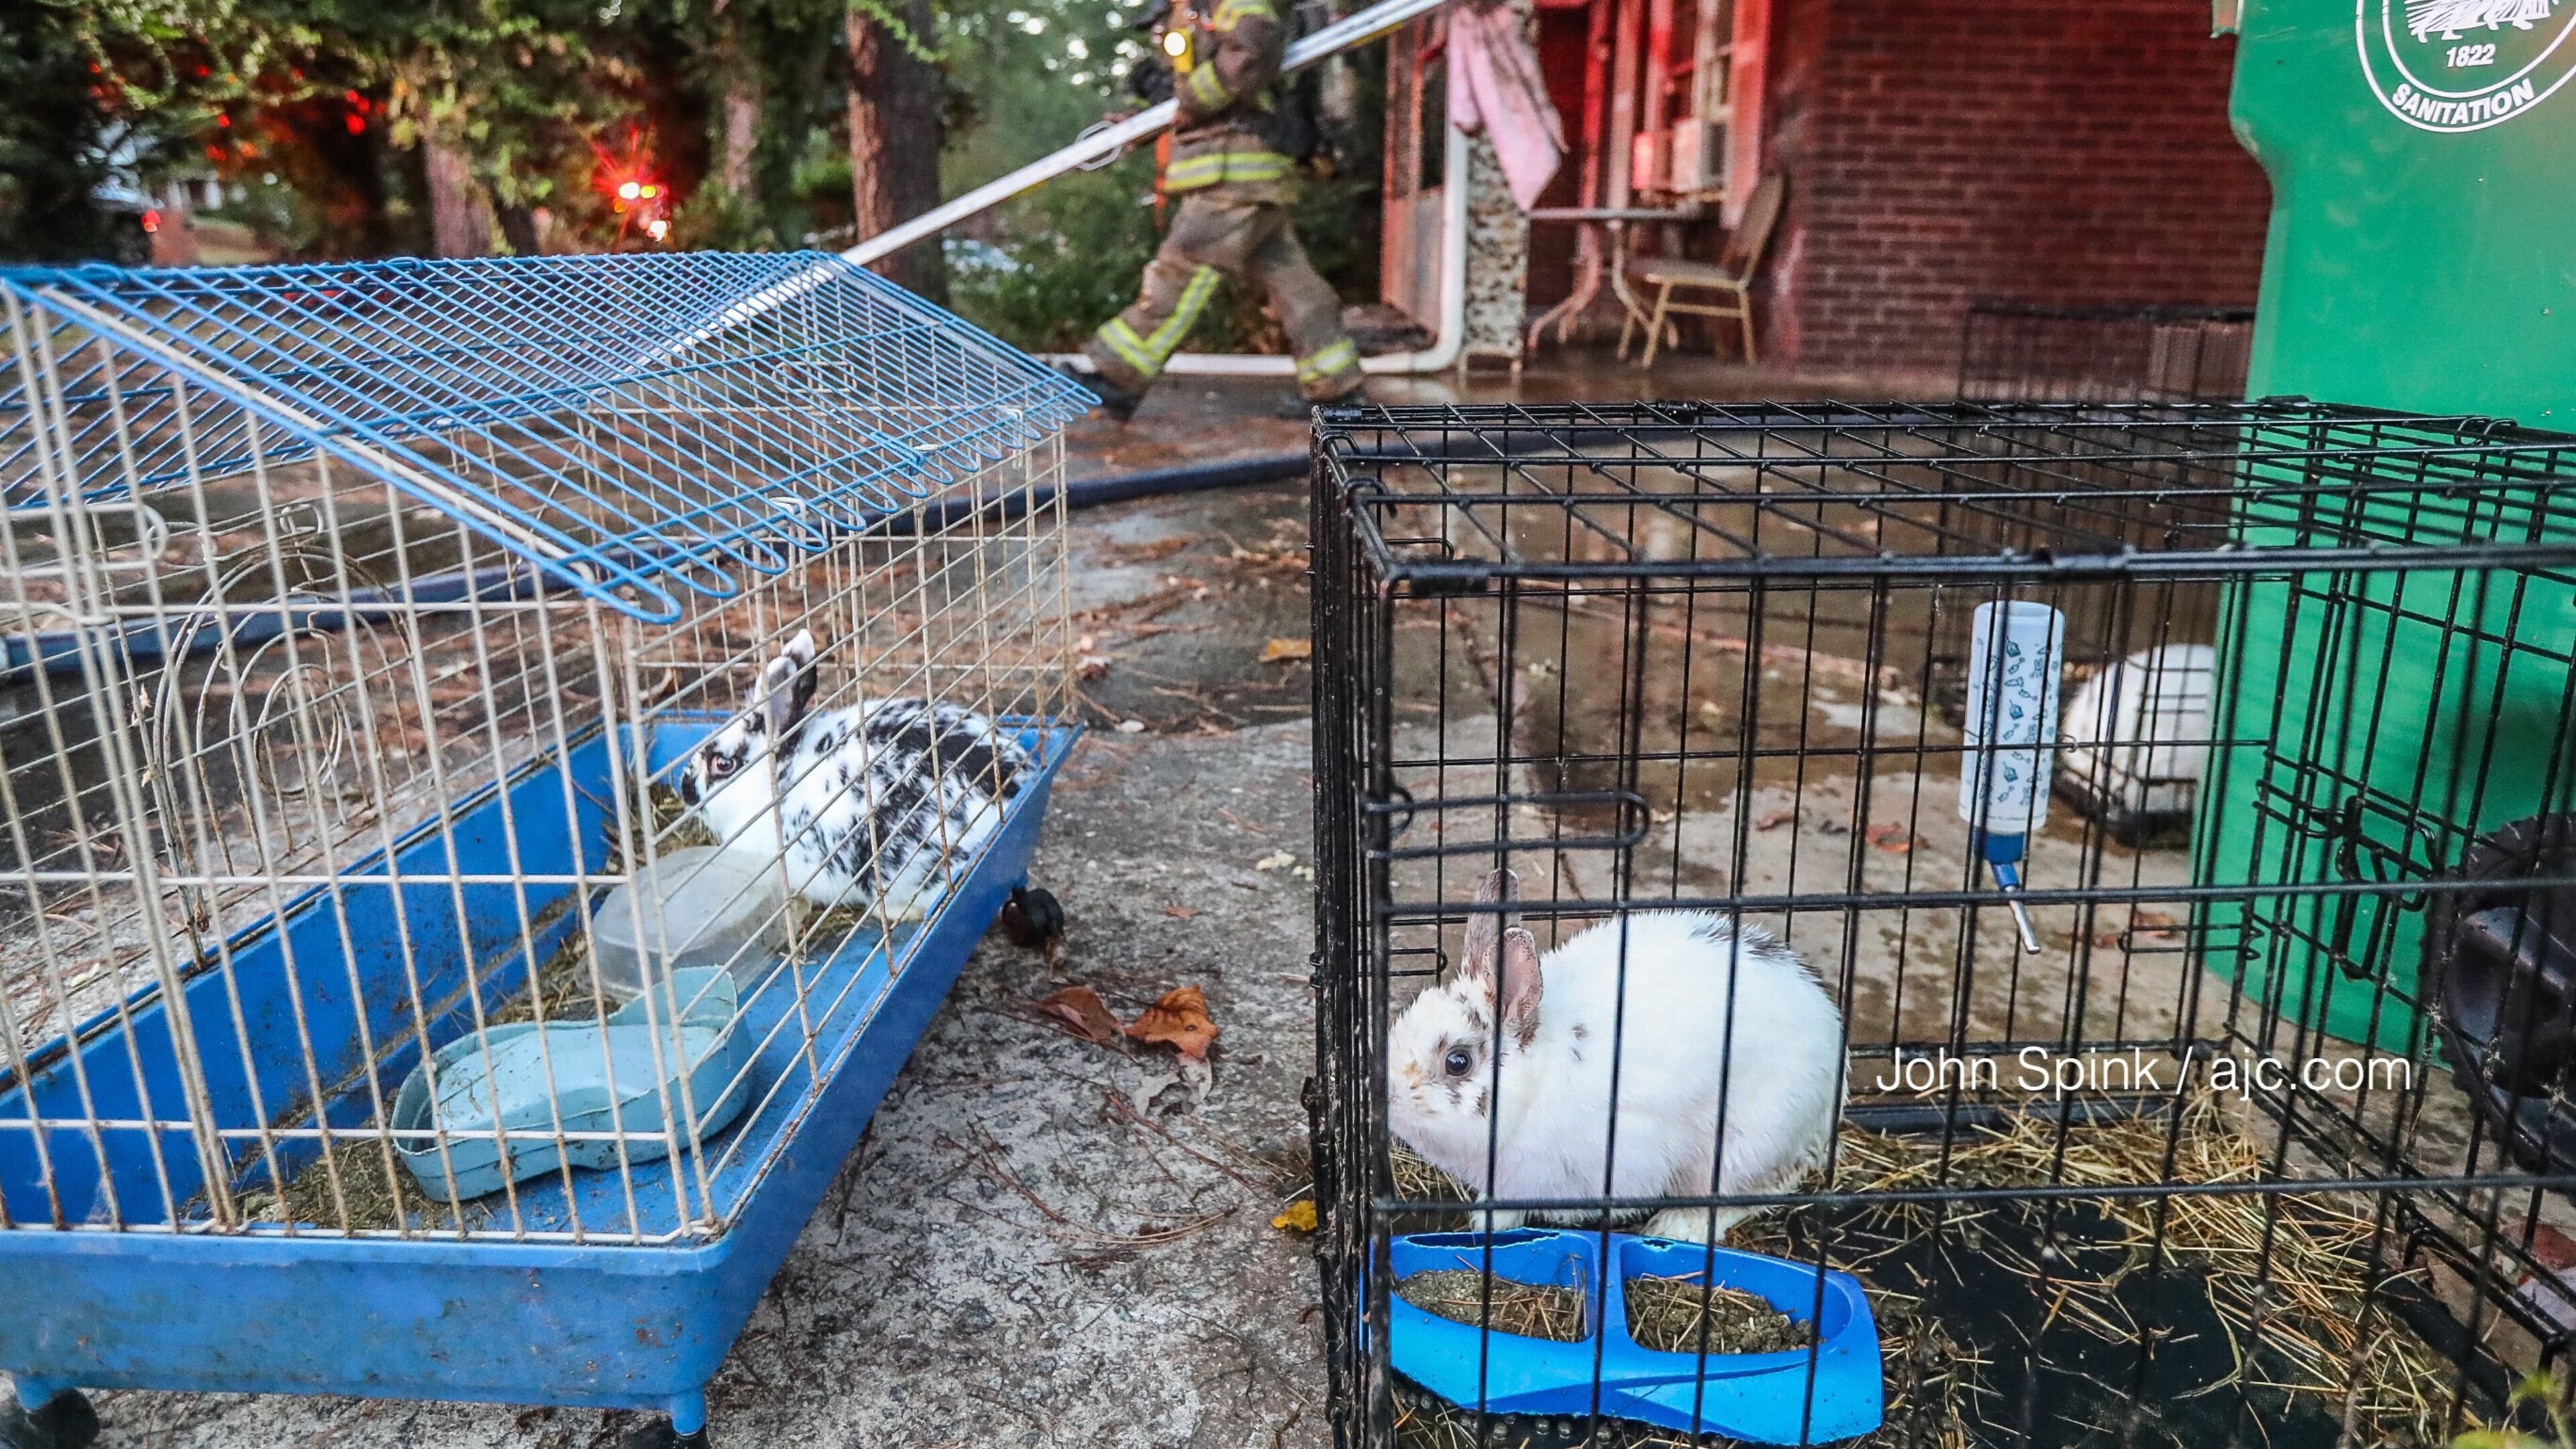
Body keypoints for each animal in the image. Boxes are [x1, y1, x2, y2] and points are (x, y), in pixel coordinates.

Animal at [1385, 868, 1845, 1244]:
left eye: (1458, 1061)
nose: (1385, 1099)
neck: (1535, 1085)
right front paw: (1486, 1223)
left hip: (1747, 1145)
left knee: (1744, 1196)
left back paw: (1675, 1227)